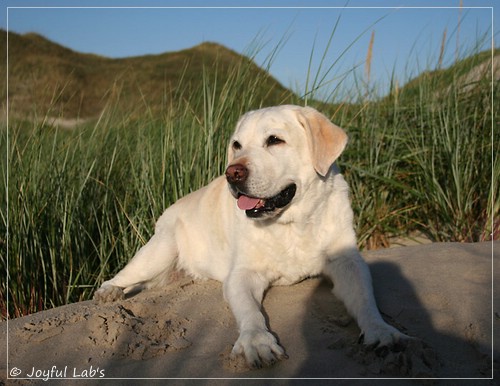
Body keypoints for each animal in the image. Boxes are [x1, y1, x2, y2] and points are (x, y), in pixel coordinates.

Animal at [94, 105, 406, 368]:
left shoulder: (348, 262)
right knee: (123, 276)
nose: (232, 173)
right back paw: (109, 292)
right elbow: (250, 312)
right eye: (237, 145)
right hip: (160, 250)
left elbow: (365, 299)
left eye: (275, 140)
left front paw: (381, 330)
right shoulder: (242, 274)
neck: (292, 223)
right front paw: (257, 342)